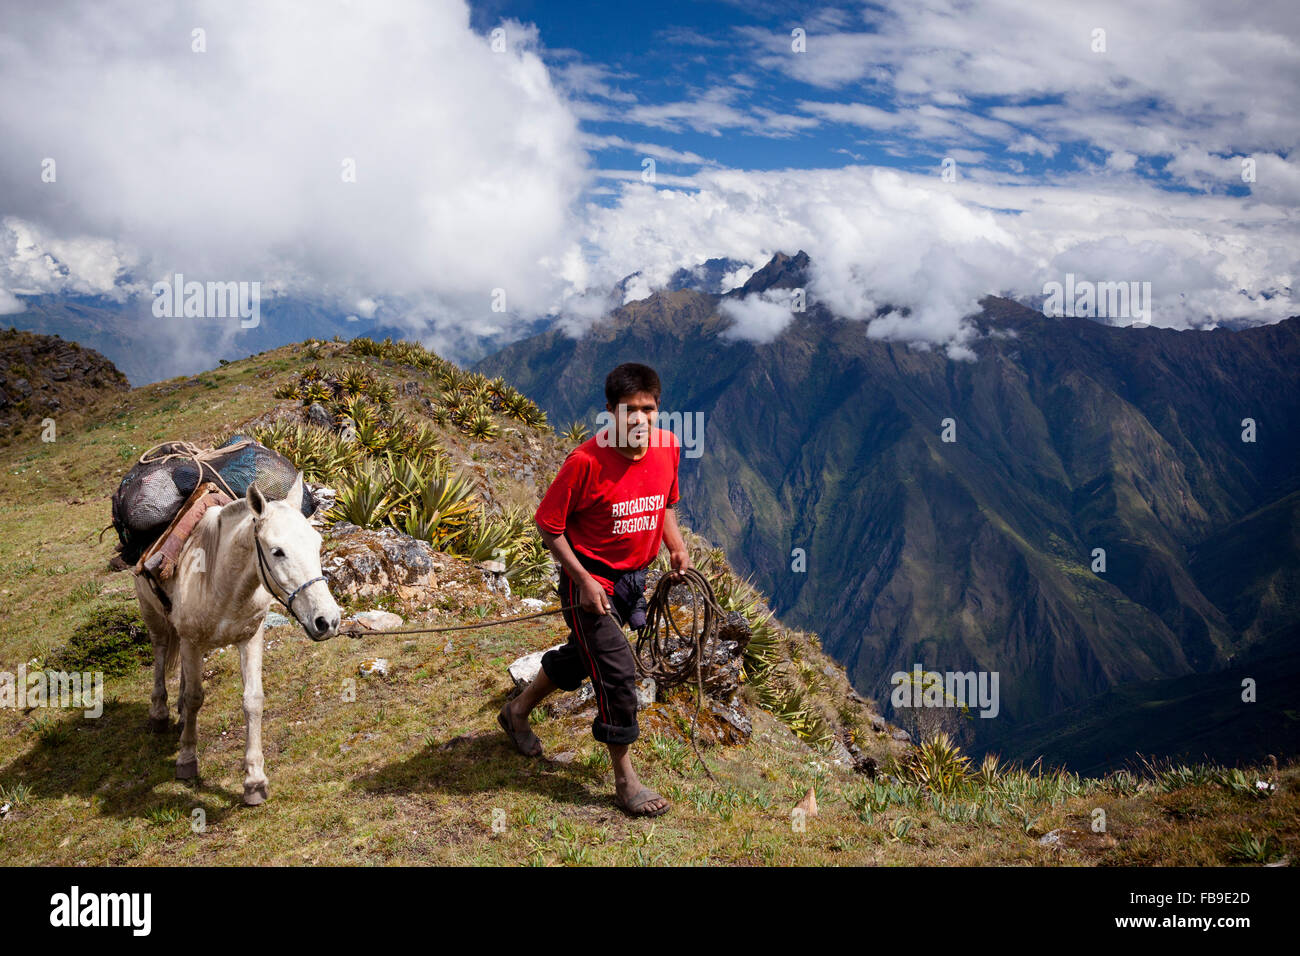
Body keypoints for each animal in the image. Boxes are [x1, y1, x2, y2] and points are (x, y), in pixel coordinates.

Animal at [133, 476, 340, 806]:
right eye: (277, 551)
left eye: (316, 544)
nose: (327, 621)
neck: (221, 581)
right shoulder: (191, 642)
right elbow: (195, 697)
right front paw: (187, 759)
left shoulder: (250, 638)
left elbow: (252, 701)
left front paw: (254, 781)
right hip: (153, 616)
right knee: (161, 652)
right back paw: (160, 714)